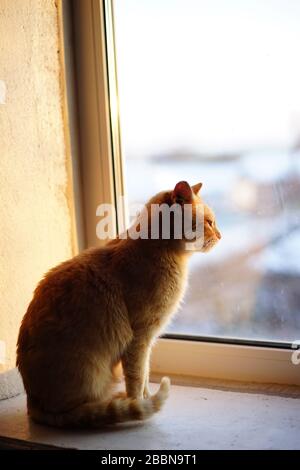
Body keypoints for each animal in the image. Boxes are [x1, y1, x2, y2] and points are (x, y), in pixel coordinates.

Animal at [15, 181, 220, 430]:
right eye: (209, 222)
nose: (220, 235)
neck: (159, 250)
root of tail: (33, 404)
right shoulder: (139, 339)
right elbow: (137, 377)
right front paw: (139, 403)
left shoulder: (147, 342)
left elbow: (145, 374)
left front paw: (144, 398)